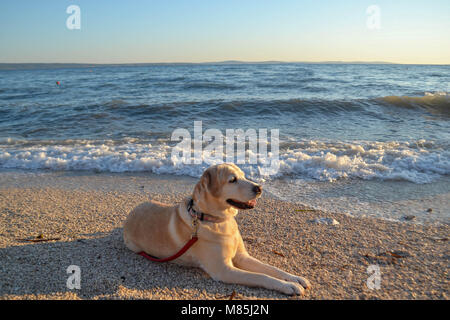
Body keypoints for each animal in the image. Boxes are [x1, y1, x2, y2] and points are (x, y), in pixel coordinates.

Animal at [124, 162, 312, 296]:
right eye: (233, 180)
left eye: (244, 175)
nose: (259, 188)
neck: (216, 219)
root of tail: (130, 214)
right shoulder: (224, 271)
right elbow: (261, 276)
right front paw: (288, 286)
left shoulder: (242, 257)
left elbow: (271, 269)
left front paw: (296, 279)